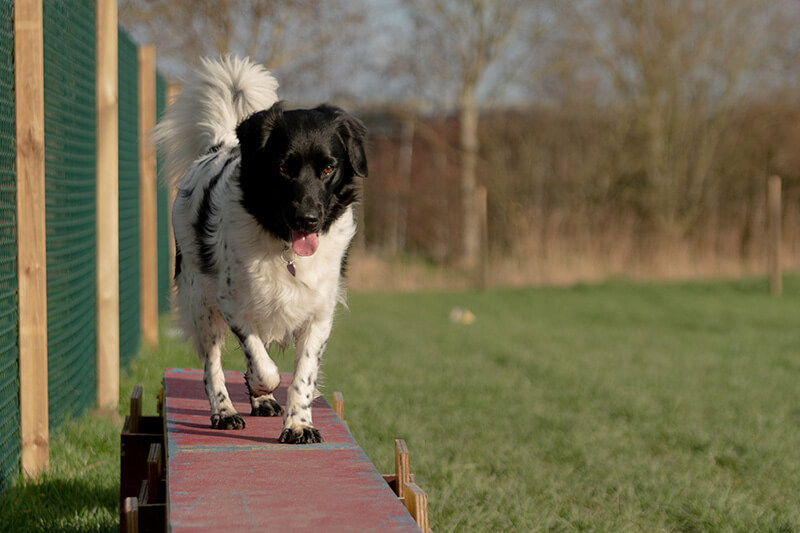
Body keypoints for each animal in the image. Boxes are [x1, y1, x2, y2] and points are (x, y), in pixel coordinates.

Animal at [155, 56, 368, 442]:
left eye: (328, 167)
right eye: (283, 167)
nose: (307, 219)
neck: (284, 244)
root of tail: (220, 144)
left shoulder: (319, 311)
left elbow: (303, 374)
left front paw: (299, 424)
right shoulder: (232, 302)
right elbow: (263, 366)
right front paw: (257, 388)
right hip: (200, 302)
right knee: (212, 365)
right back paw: (224, 411)